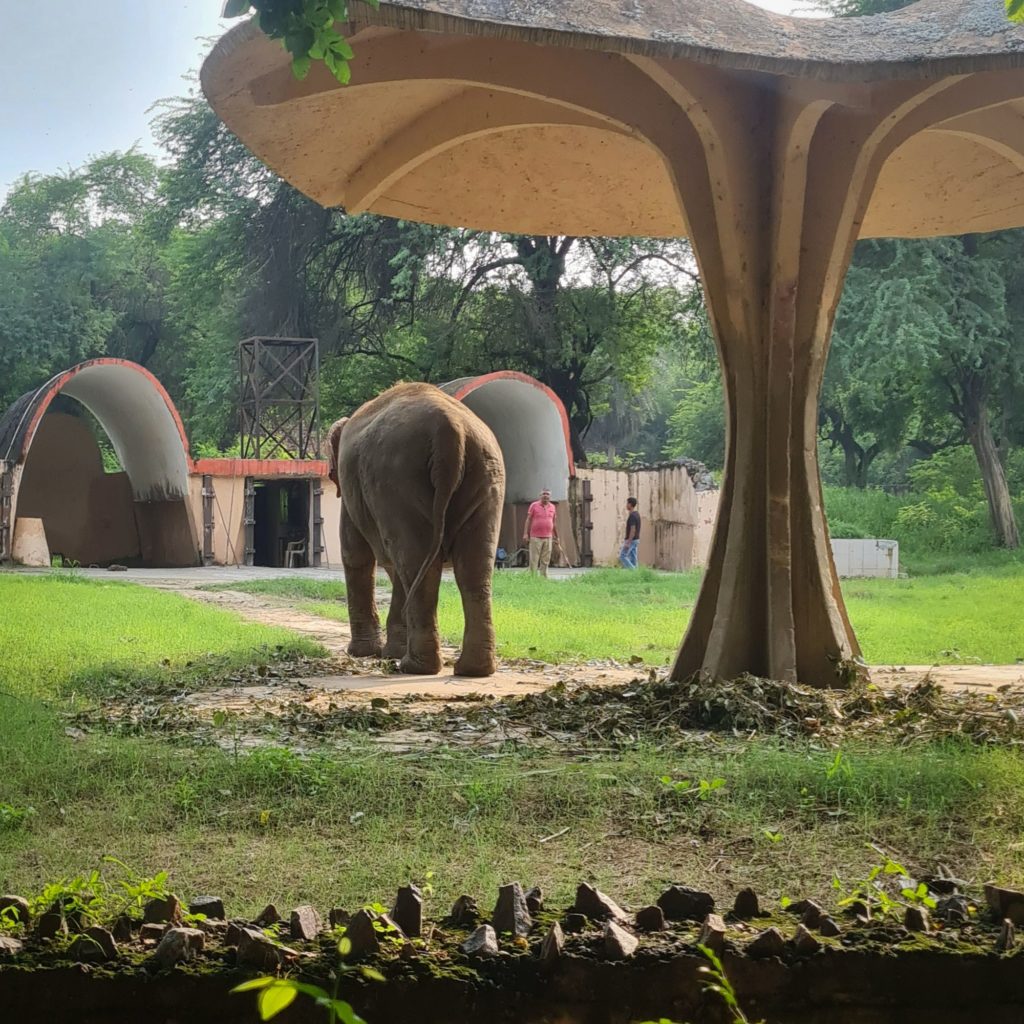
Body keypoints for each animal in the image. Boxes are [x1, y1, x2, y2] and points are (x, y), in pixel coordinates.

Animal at [326, 382, 506, 677]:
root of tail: (451, 430)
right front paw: (389, 652)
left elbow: (356, 555)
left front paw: (365, 653)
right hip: (486, 476)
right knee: (473, 567)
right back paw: (472, 669)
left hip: (397, 480)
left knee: (414, 561)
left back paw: (415, 666)